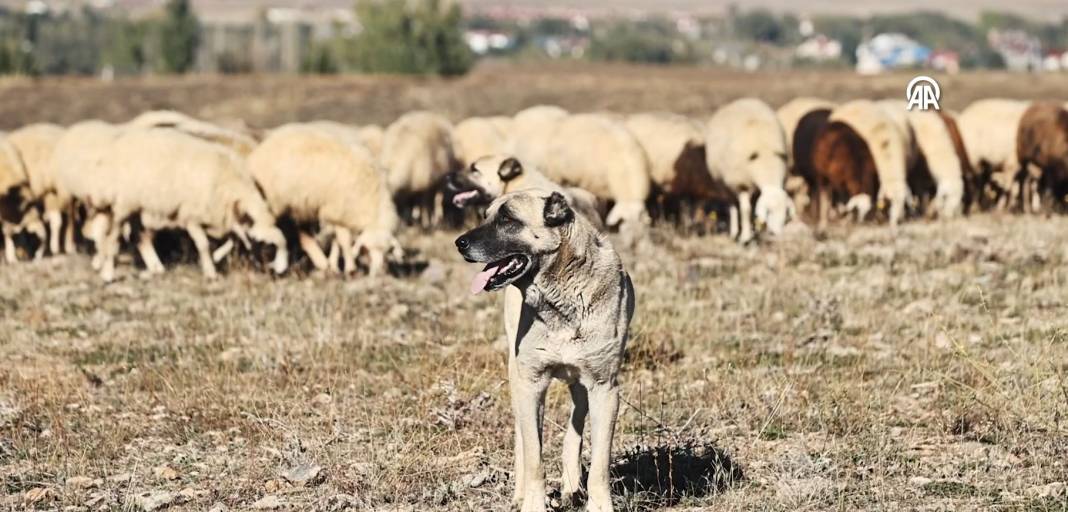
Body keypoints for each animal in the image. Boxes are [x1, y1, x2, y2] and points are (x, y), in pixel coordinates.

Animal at [247, 123, 401, 275]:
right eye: (367, 248)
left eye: (386, 251)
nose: (378, 272)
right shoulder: (337, 210)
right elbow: (344, 240)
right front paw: (350, 268)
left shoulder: (337, 215)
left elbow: (336, 241)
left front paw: (334, 266)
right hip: (276, 202)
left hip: (300, 206)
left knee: (299, 231)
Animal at [709, 101, 794, 245]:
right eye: (769, 212)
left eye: (785, 212)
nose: (776, 233)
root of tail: (738, 101)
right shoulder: (741, 184)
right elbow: (745, 210)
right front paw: (745, 237)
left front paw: (754, 232)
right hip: (723, 185)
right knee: (732, 206)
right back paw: (735, 232)